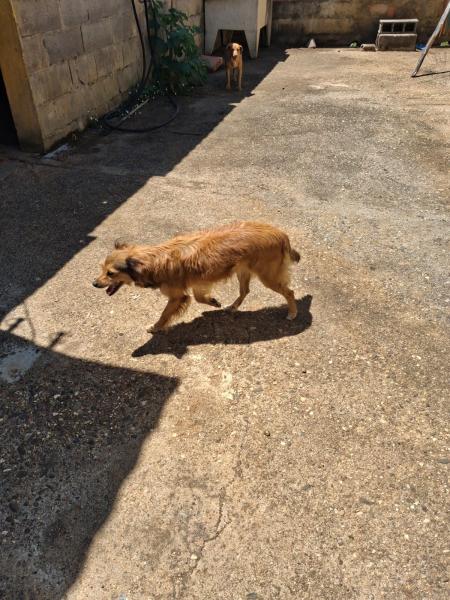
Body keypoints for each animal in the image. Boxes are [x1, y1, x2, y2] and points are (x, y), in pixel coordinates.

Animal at [93, 221, 300, 333]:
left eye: (110, 273)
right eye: (101, 269)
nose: (94, 283)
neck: (153, 259)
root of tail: (281, 234)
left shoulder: (177, 296)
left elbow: (165, 314)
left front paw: (156, 327)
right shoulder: (199, 282)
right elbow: (200, 298)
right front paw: (213, 302)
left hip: (268, 276)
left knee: (289, 292)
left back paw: (293, 313)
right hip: (243, 270)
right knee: (245, 291)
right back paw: (232, 307)